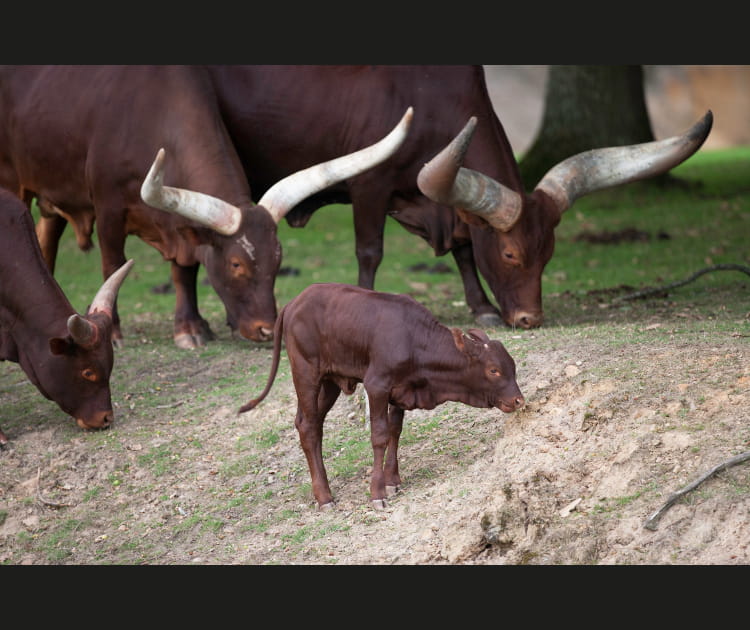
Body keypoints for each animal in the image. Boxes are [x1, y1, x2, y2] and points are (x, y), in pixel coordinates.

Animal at [0, 65, 414, 350]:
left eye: (278, 260)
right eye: (236, 264)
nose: (267, 329)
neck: (151, 113)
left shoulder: (180, 227)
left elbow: (184, 272)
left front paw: (191, 329)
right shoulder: (109, 208)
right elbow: (112, 264)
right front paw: (114, 332)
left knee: (46, 236)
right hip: (14, 181)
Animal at [207, 65, 716, 330]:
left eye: (548, 255)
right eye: (511, 254)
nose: (530, 318)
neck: (428, 99)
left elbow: (466, 249)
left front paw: (483, 308)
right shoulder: (369, 186)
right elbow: (370, 251)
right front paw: (363, 300)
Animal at [238, 284, 524, 512]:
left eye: (512, 366)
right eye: (494, 370)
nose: (518, 400)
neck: (414, 340)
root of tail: (293, 303)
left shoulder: (401, 391)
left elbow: (395, 431)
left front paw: (392, 480)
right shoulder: (376, 385)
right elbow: (379, 436)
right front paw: (377, 492)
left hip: (329, 382)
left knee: (310, 424)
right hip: (306, 373)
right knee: (308, 426)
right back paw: (324, 497)